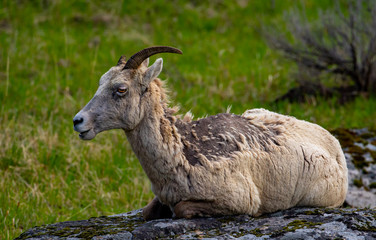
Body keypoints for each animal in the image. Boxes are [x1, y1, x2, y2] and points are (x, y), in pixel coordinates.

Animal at [74, 46, 350, 220]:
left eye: (121, 89)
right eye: (100, 82)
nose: (78, 121)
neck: (183, 154)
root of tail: (334, 144)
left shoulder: (238, 199)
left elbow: (181, 210)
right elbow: (147, 211)